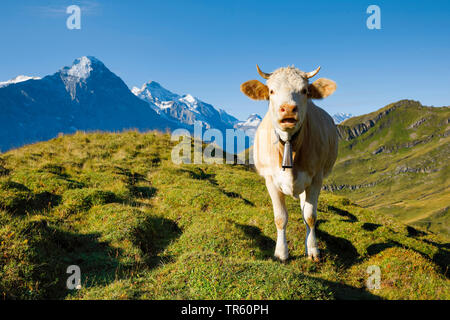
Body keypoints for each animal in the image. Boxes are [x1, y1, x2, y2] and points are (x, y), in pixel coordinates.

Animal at [241, 65, 336, 262]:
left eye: (305, 90)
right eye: (271, 91)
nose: (289, 109)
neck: (289, 144)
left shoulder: (316, 179)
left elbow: (310, 216)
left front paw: (313, 250)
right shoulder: (270, 180)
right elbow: (280, 217)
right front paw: (281, 253)